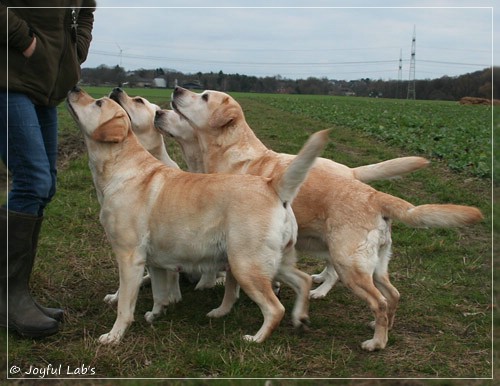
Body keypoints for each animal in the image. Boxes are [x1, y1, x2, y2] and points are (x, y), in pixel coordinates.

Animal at [66, 86, 330, 344]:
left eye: (98, 103)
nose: (74, 88)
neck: (122, 167)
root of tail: (272, 185)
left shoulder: (129, 256)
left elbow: (124, 306)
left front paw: (114, 336)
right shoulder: (154, 261)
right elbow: (159, 292)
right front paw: (156, 313)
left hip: (245, 264)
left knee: (275, 308)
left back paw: (256, 338)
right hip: (273, 260)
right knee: (303, 280)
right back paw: (300, 318)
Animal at [168, 86, 484, 352]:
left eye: (204, 96)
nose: (176, 88)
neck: (231, 154)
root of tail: (372, 193)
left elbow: (232, 283)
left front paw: (222, 306)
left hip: (348, 262)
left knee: (376, 298)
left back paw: (374, 341)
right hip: (374, 264)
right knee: (392, 295)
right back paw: (377, 325)